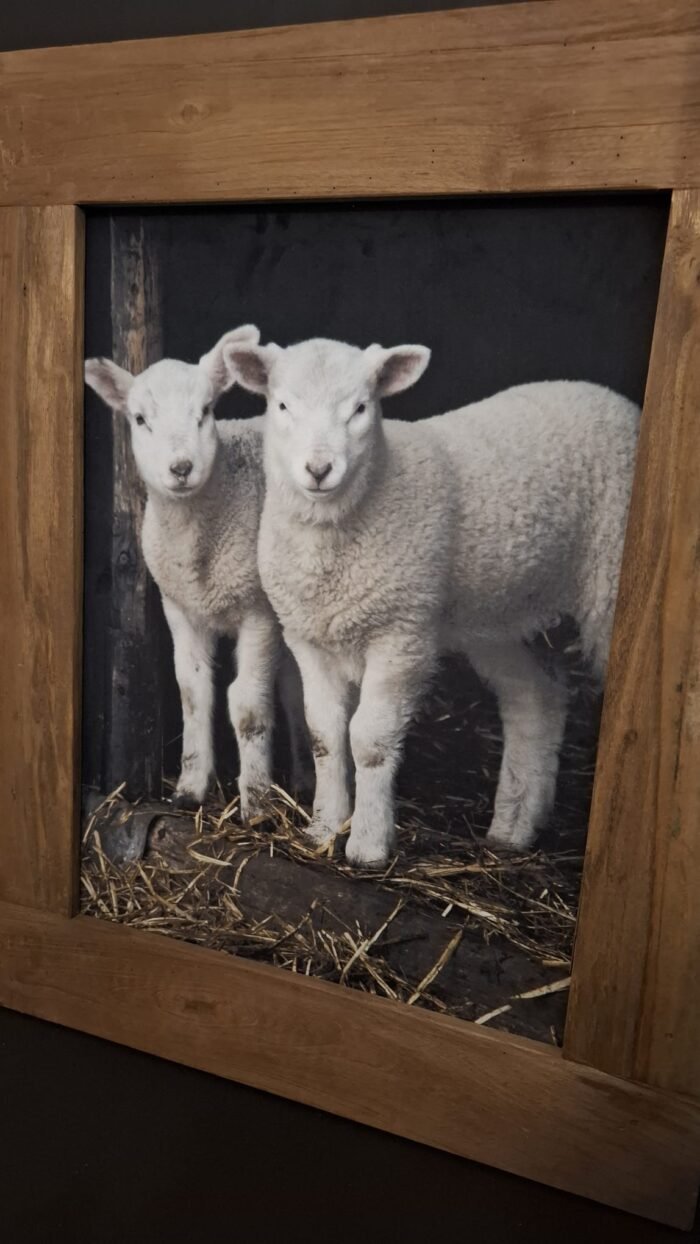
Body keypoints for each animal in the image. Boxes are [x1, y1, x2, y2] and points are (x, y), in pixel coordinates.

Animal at [85, 325, 309, 816]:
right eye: (139, 419)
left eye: (206, 411)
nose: (181, 467)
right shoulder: (180, 607)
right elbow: (192, 693)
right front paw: (190, 787)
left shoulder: (258, 610)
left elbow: (247, 703)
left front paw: (257, 804)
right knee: (295, 689)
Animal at [226, 338, 641, 865]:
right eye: (282, 406)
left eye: (360, 409)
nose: (319, 470)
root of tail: (613, 399)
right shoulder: (309, 635)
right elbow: (324, 735)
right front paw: (323, 828)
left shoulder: (401, 634)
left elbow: (370, 739)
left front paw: (367, 844)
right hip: (499, 613)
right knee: (536, 698)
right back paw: (513, 828)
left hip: (608, 579)